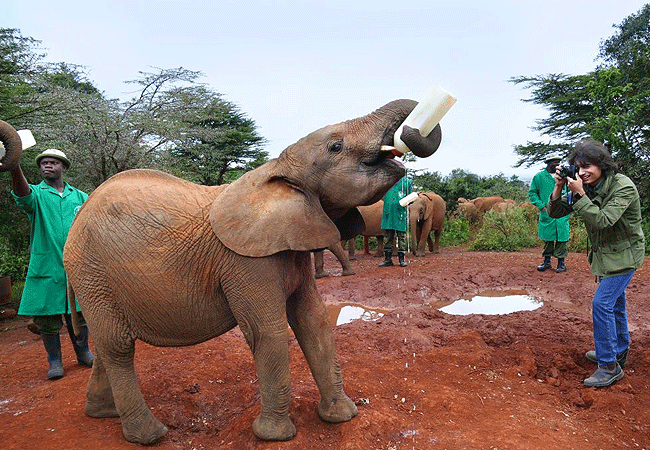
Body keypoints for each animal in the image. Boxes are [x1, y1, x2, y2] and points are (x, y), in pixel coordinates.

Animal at [59, 97, 440, 442]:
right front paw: (274, 436)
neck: (277, 172)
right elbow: (267, 331)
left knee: (107, 344)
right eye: (336, 146)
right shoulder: (245, 262)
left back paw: (102, 413)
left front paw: (342, 417)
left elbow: (313, 319)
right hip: (91, 271)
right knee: (118, 347)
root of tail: (76, 219)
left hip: (94, 280)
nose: (407, 139)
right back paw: (149, 435)